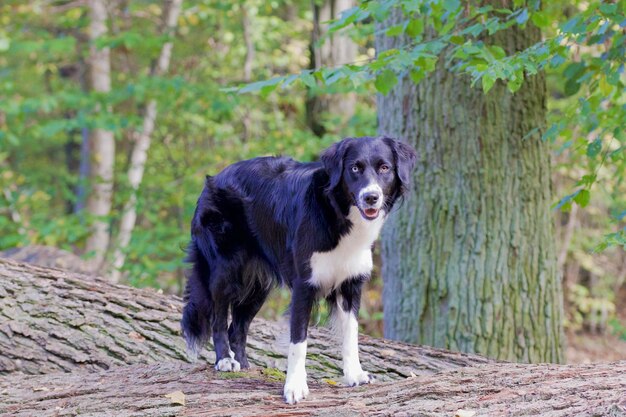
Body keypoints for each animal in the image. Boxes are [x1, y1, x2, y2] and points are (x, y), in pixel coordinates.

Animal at [179, 136, 414, 404]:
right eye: (355, 168)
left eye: (384, 168)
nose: (371, 197)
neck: (337, 212)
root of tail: (214, 179)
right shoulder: (304, 285)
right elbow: (299, 341)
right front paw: (294, 386)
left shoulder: (351, 285)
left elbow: (351, 334)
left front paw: (355, 374)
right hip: (225, 269)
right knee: (218, 318)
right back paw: (225, 360)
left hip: (258, 286)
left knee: (237, 328)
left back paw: (245, 366)